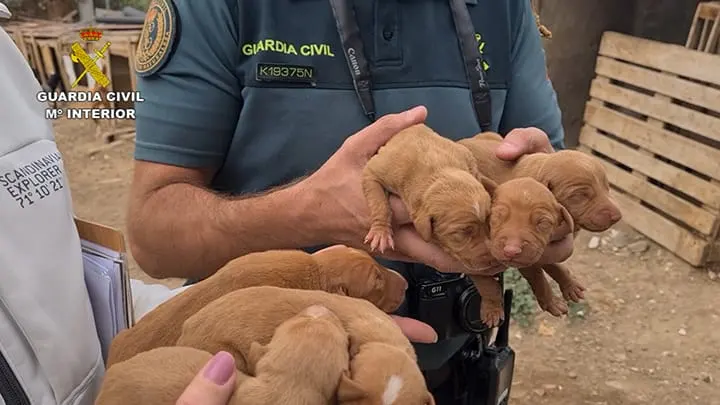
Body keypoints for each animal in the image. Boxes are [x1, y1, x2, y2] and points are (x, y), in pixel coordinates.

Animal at [362, 121, 498, 270]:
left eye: (489, 221)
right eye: (462, 232)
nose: (493, 260)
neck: (438, 171)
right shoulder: (375, 171)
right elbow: (379, 203)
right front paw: (381, 233)